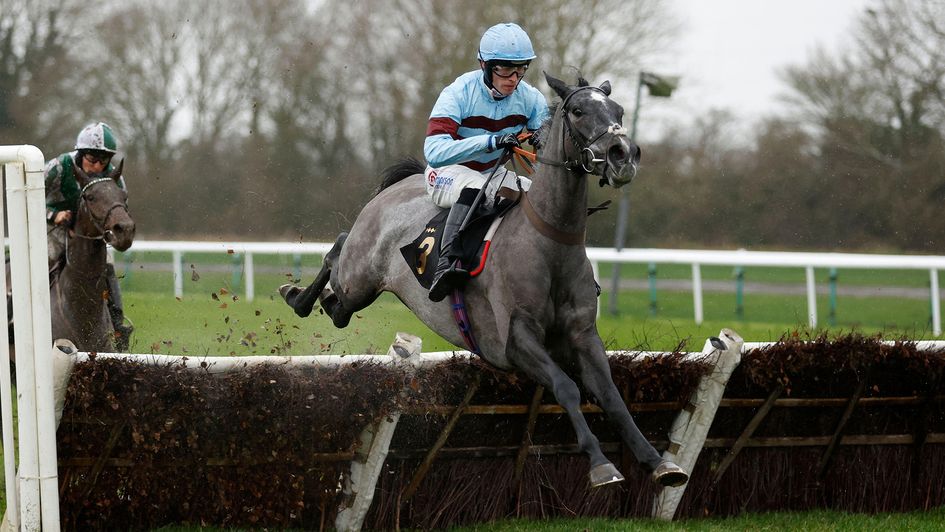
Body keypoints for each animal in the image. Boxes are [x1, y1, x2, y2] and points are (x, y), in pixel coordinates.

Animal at [278, 72, 684, 488]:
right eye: (578, 110)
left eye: (619, 111)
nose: (623, 154)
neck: (550, 244)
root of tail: (404, 182)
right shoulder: (515, 341)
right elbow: (566, 388)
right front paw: (601, 464)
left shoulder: (584, 335)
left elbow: (611, 396)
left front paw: (658, 461)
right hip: (360, 277)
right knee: (337, 255)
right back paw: (296, 295)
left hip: (359, 286)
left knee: (337, 299)